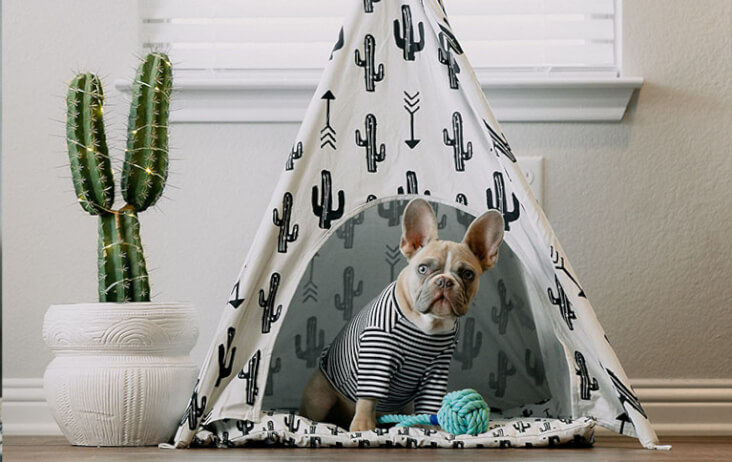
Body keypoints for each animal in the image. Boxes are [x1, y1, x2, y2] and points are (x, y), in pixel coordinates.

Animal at [298, 199, 504, 434]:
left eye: (468, 274)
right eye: (423, 269)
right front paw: (362, 428)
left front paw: (431, 429)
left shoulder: (437, 368)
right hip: (320, 396)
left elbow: (429, 402)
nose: (444, 281)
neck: (428, 325)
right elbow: (368, 399)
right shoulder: (376, 358)